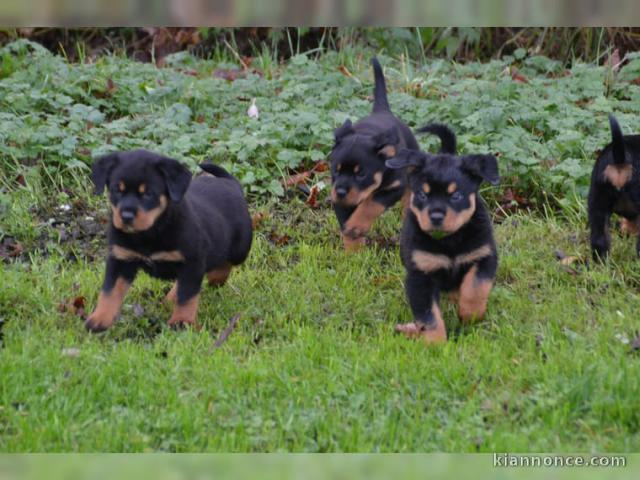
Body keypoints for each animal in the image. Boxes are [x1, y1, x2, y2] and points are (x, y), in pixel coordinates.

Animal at [84, 151, 252, 334]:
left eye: (148, 193)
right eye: (117, 190)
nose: (126, 216)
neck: (149, 232)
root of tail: (232, 184)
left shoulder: (192, 261)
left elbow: (187, 296)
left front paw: (181, 321)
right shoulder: (121, 258)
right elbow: (109, 292)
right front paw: (99, 319)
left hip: (240, 249)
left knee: (224, 263)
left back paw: (216, 278)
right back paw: (171, 297)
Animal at [330, 58, 420, 249]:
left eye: (361, 174)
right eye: (335, 171)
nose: (340, 192)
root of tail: (382, 110)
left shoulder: (394, 187)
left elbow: (371, 204)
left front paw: (356, 226)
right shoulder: (340, 200)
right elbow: (346, 222)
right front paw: (353, 250)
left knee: (408, 200)